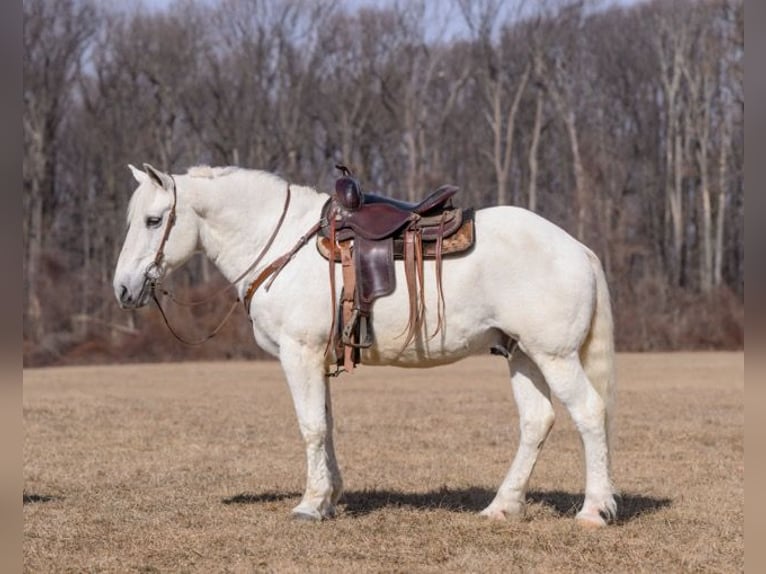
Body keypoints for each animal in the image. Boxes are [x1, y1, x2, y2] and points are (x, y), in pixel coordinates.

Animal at [112, 164, 616, 528]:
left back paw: (594, 510)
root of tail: (577, 248)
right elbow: (327, 426)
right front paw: (329, 498)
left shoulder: (299, 354)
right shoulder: (317, 359)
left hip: (554, 356)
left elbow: (311, 427)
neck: (279, 242)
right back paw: (502, 507)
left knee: (589, 412)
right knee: (537, 421)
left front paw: (310, 505)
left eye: (154, 221)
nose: (122, 288)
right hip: (522, 354)